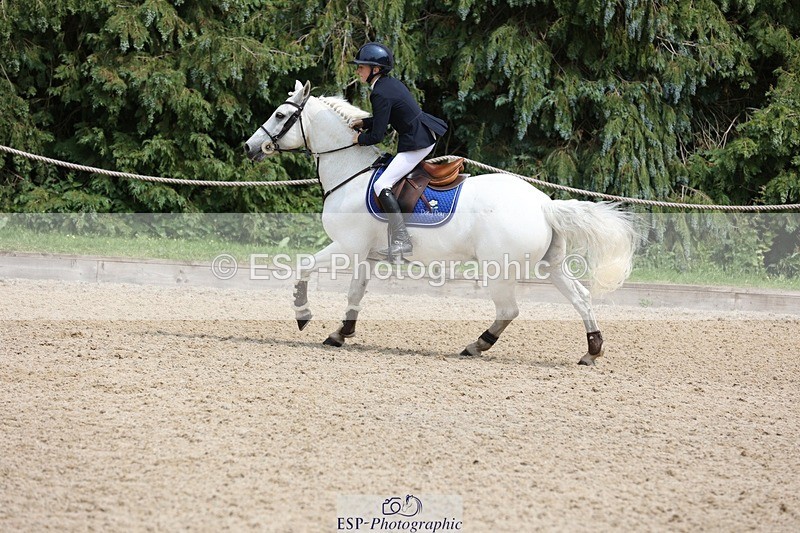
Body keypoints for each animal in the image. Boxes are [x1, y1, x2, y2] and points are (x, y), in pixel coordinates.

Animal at [244, 81, 638, 365]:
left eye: (280, 114)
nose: (248, 147)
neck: (349, 172)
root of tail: (544, 204)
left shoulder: (346, 246)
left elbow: (303, 267)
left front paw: (303, 315)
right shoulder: (365, 254)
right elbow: (355, 293)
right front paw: (341, 333)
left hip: (499, 268)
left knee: (508, 310)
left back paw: (476, 345)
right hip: (550, 264)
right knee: (581, 298)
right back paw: (591, 351)